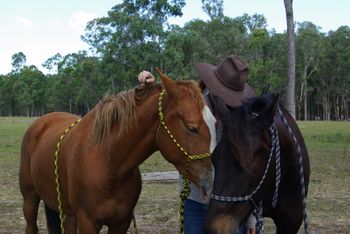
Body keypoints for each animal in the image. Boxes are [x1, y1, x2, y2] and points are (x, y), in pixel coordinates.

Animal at [20, 70, 216, 233]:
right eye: (191, 128)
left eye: (214, 123)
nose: (210, 183)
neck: (110, 164)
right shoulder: (87, 221)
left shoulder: (121, 221)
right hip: (30, 198)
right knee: (31, 226)